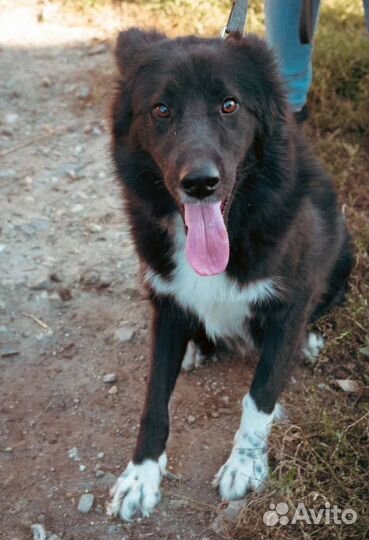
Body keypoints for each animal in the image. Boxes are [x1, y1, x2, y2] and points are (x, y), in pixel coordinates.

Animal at [105, 28, 352, 520]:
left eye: (230, 105)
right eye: (161, 109)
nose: (200, 183)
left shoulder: (292, 297)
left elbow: (261, 390)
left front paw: (246, 464)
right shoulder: (166, 299)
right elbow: (154, 399)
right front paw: (140, 476)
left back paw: (307, 343)